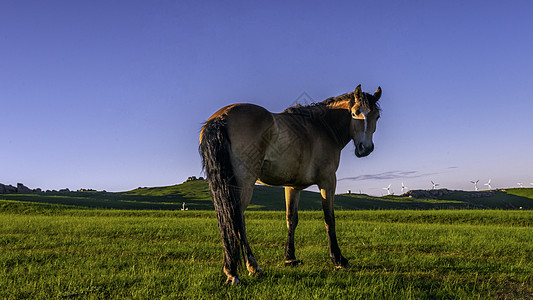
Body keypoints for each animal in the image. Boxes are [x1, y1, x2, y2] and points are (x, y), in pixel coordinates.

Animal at [197, 84, 380, 284]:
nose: (365, 148)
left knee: (231, 219)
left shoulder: (292, 187)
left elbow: (291, 220)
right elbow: (329, 219)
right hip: (244, 183)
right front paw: (338, 259)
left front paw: (290, 258)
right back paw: (245, 268)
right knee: (237, 219)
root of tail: (221, 117)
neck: (321, 127)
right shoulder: (328, 180)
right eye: (355, 113)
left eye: (377, 116)